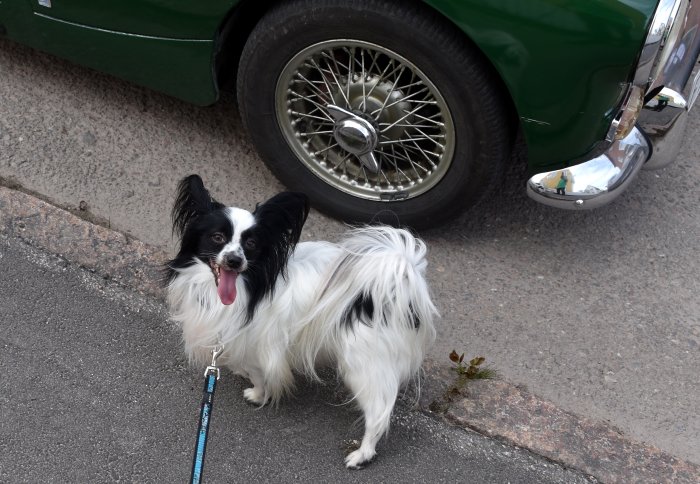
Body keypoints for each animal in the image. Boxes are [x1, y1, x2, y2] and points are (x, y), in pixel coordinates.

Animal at [166, 176, 434, 466]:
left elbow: (260, 376)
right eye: (217, 238)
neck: (250, 287)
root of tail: (399, 283)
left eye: (251, 245)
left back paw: (362, 454)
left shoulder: (261, 346)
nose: (235, 260)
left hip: (363, 364)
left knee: (379, 413)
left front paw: (257, 394)